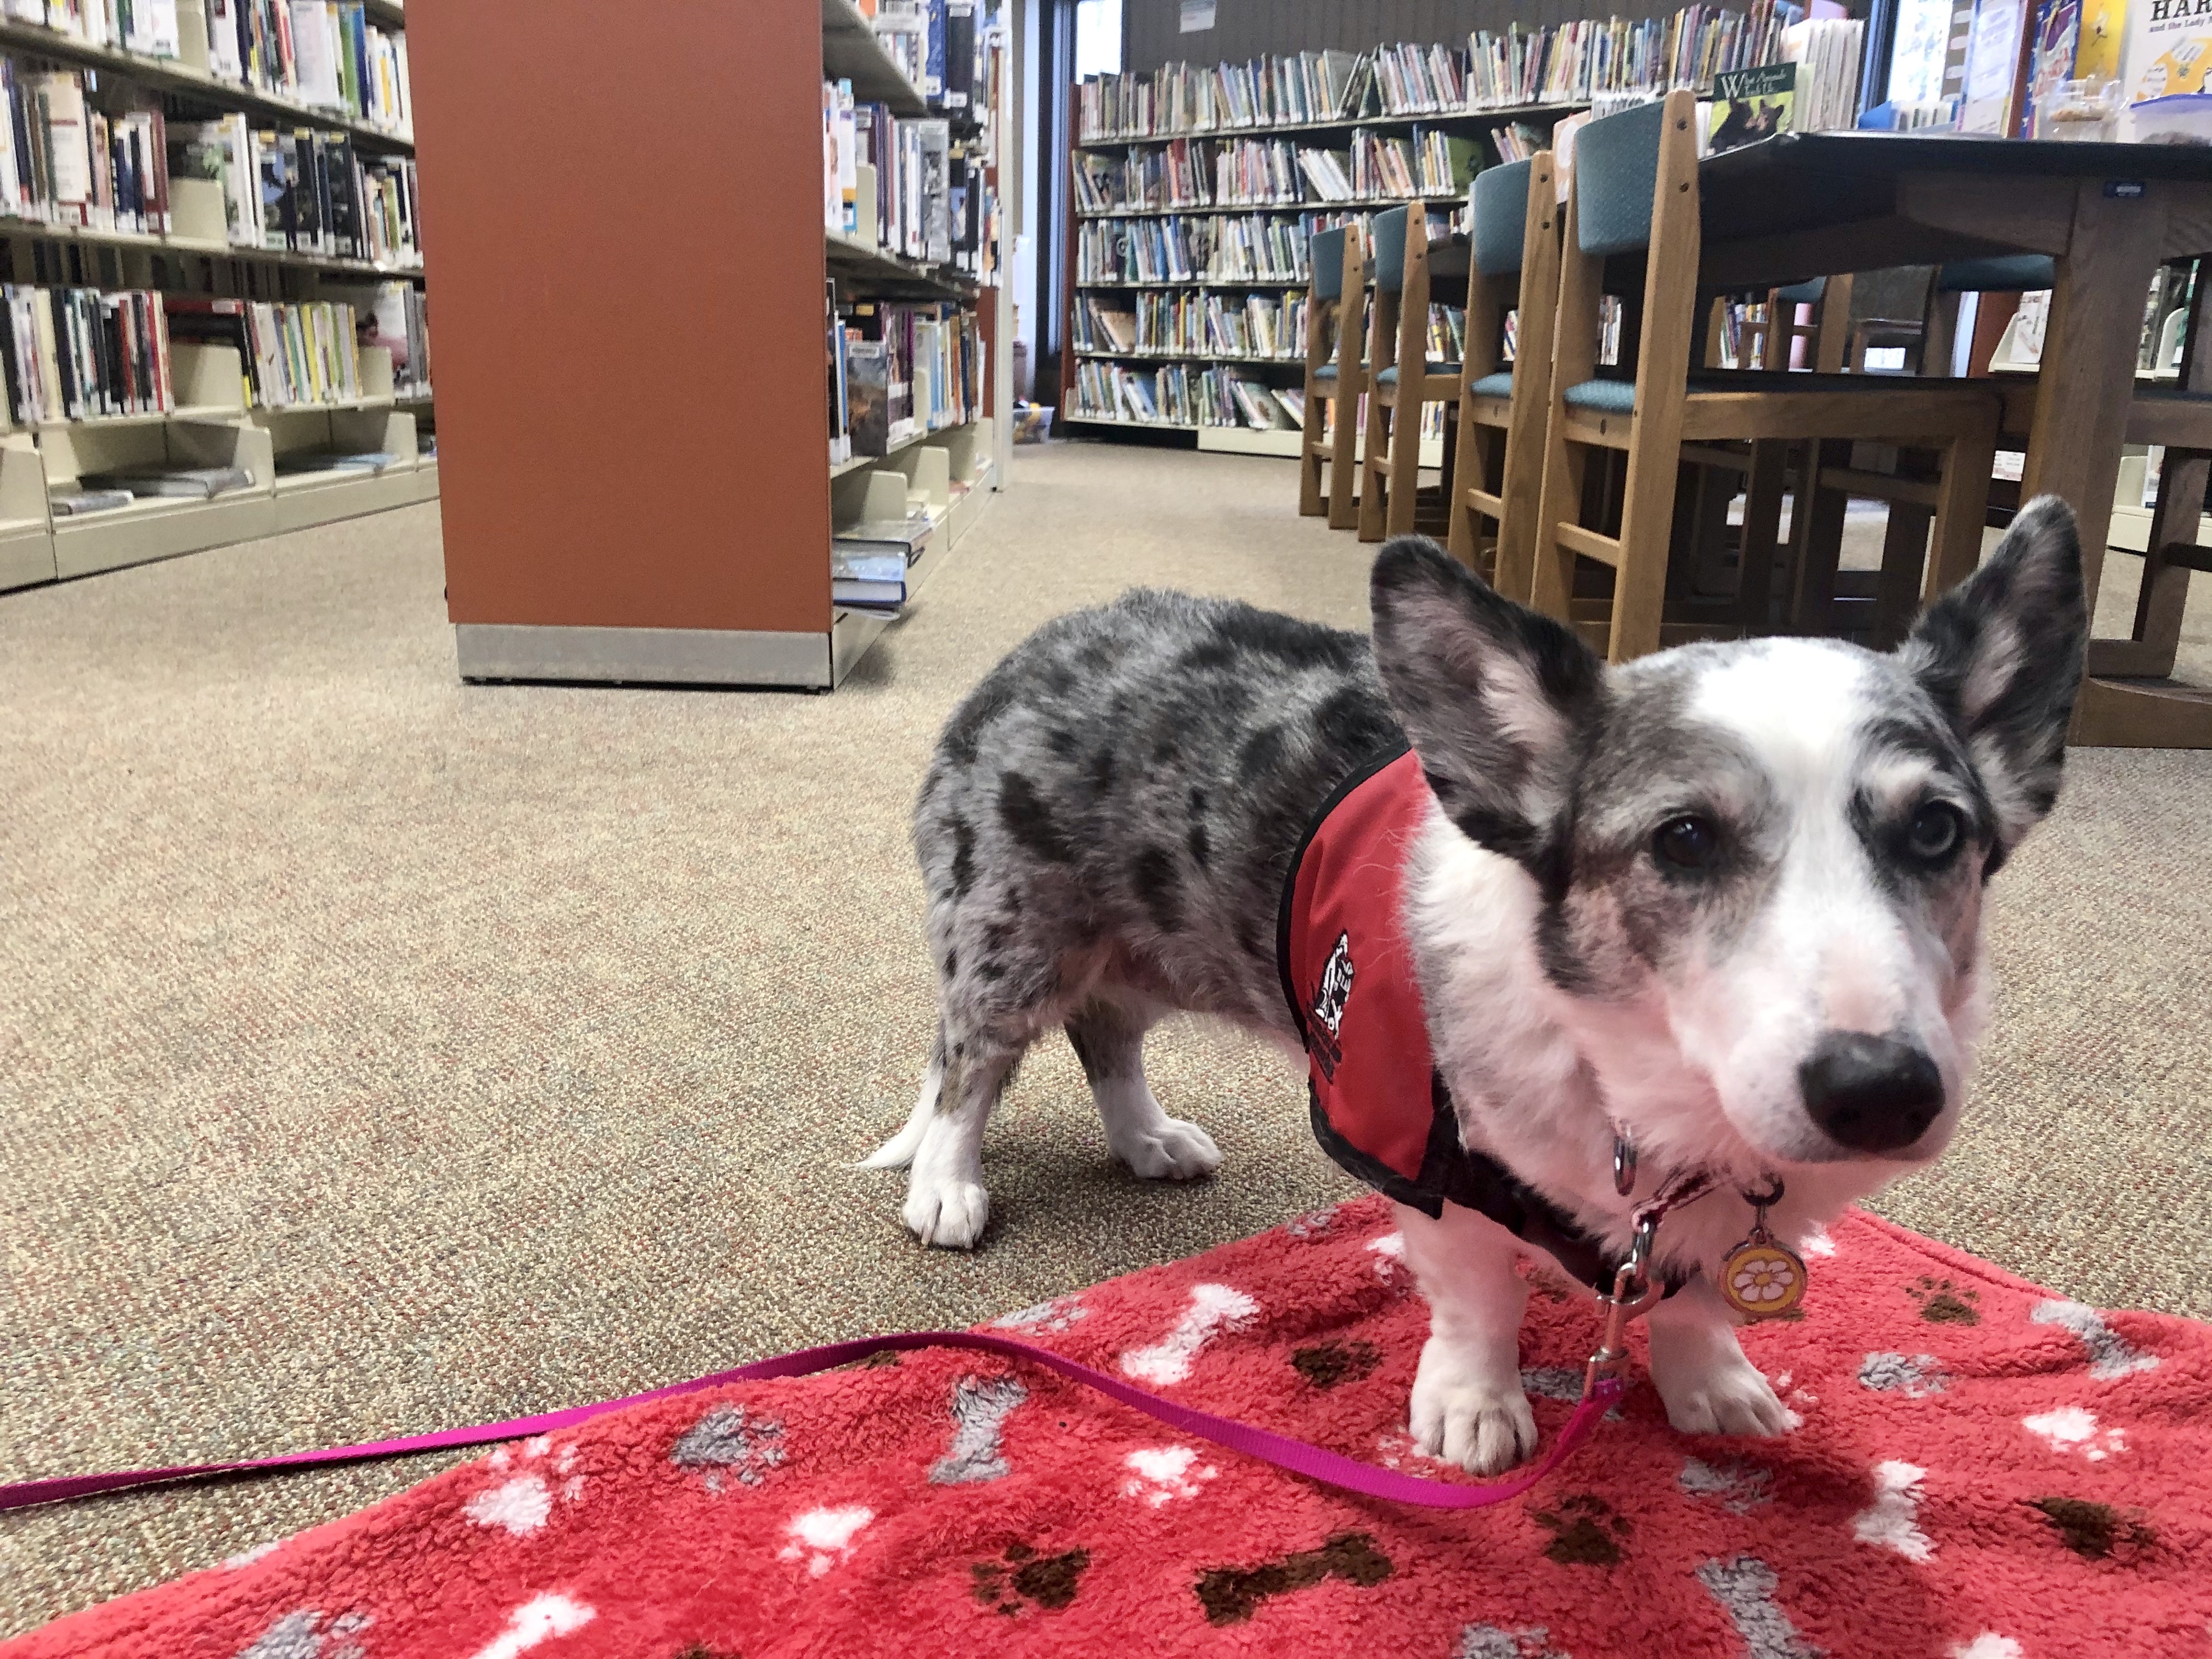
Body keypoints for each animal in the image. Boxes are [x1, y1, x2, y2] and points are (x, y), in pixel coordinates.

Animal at [864, 496, 2088, 1474]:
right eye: (1685, 838)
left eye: (1937, 829)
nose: (1881, 1091)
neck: (1648, 1098)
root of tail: (1036, 649)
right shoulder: (1423, 1161)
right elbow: (1476, 1299)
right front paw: (1475, 1409)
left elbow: (1693, 1303)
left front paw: (1711, 1382)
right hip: (1016, 937)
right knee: (969, 1060)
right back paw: (947, 1183)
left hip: (1154, 943)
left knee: (1107, 1035)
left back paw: (1147, 1138)